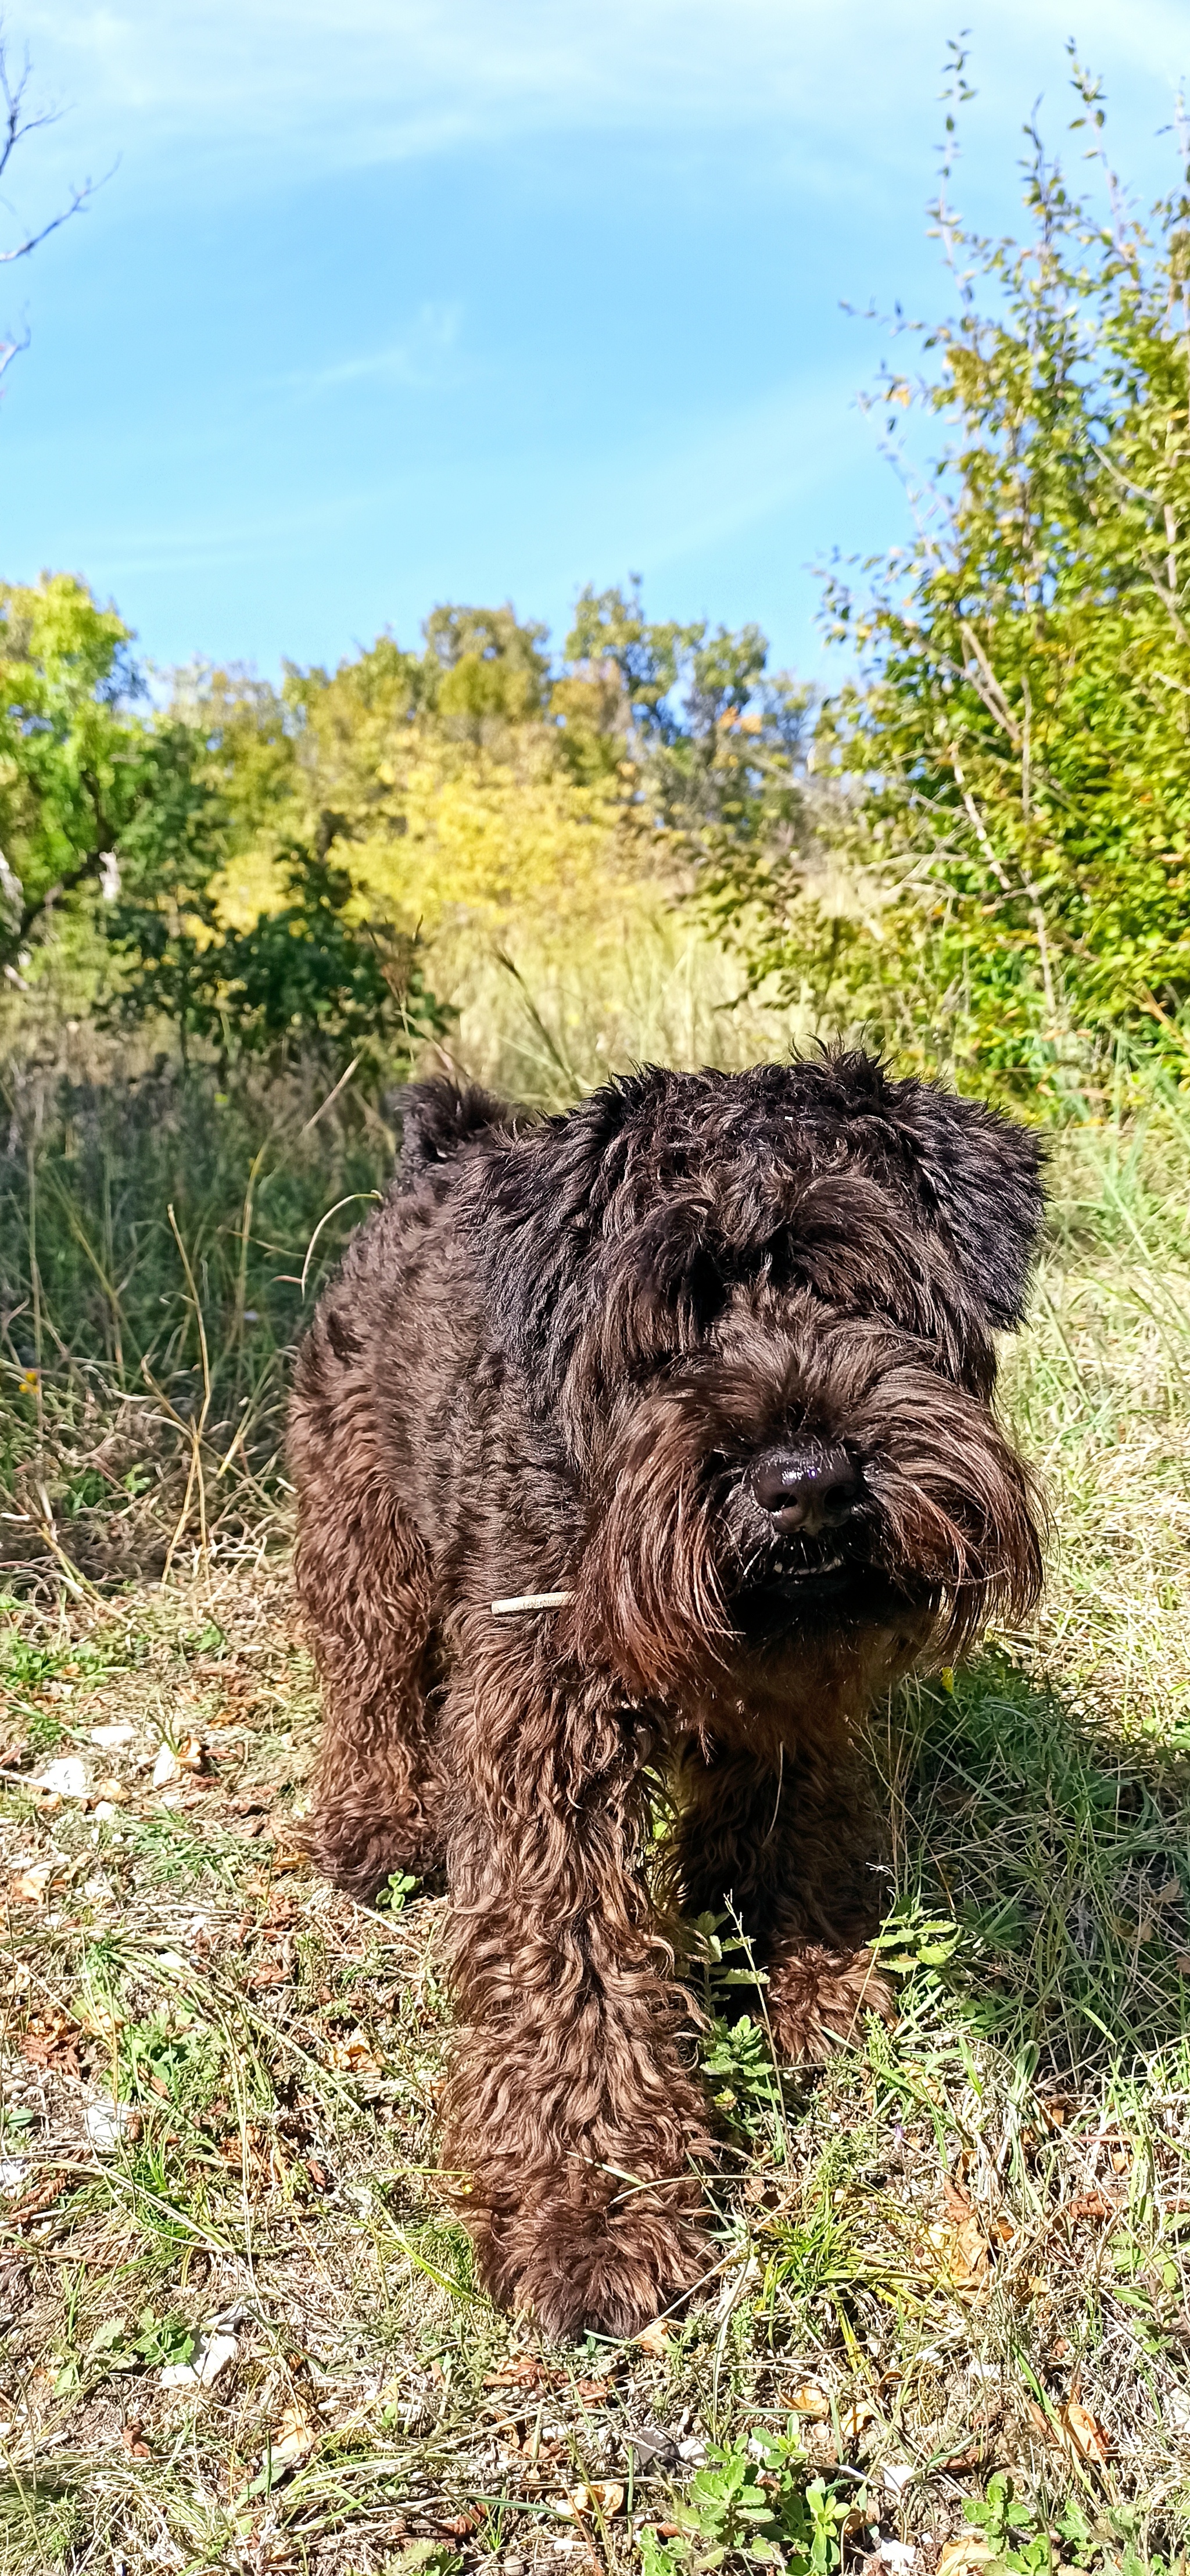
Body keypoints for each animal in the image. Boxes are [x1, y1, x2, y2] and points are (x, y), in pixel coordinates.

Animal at [291, 1045, 1040, 2339]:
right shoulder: (545, 1728)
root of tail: (440, 1147)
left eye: (866, 1286)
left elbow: (786, 1830)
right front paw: (595, 2206)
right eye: (673, 1309)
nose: (805, 1479)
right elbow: (572, 1966)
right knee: (369, 1675)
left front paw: (795, 1976)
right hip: (363, 1517)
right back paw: (378, 1821)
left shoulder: (799, 1701)